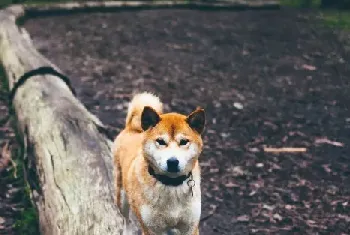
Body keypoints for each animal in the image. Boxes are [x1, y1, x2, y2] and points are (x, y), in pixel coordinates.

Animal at [112, 92, 205, 235]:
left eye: (184, 142)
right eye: (160, 141)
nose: (172, 161)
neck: (172, 185)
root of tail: (131, 129)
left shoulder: (190, 227)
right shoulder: (151, 229)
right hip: (121, 197)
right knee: (126, 220)